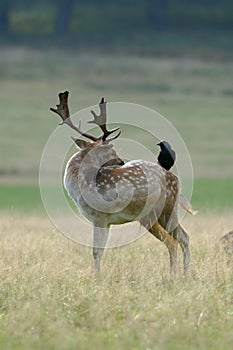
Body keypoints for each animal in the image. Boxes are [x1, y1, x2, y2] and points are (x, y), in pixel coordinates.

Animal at [51, 91, 191, 278]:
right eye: (110, 149)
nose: (121, 161)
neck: (81, 186)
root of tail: (176, 180)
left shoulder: (100, 216)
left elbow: (96, 251)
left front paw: (96, 277)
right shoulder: (103, 220)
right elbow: (99, 250)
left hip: (163, 210)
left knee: (181, 239)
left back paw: (182, 275)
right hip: (156, 216)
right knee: (176, 240)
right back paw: (177, 275)